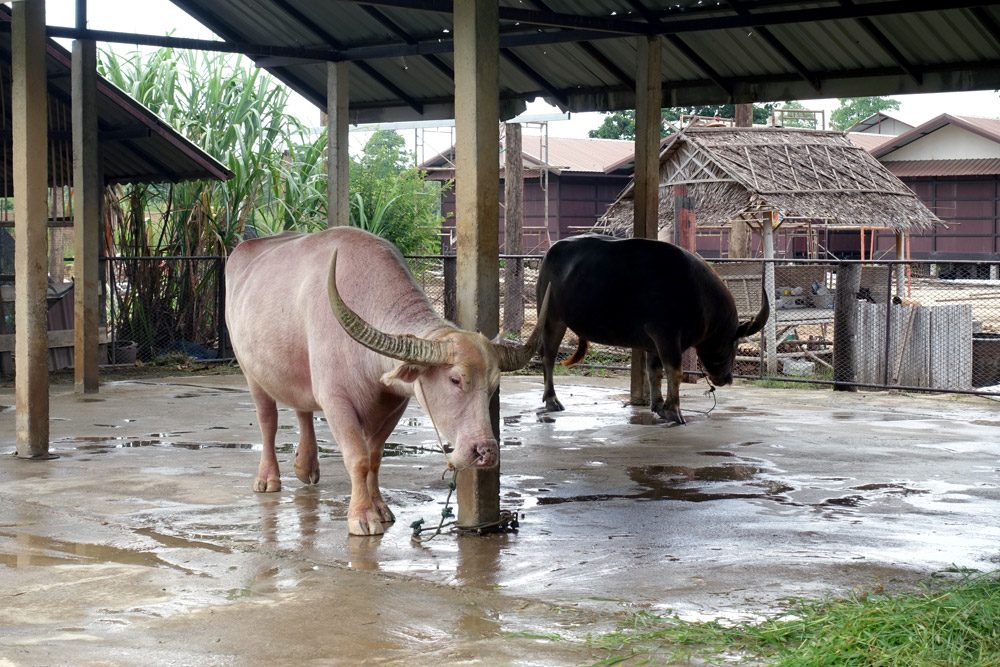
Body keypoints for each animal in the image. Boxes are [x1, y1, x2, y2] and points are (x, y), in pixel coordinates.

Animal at [227, 230, 548, 536]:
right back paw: (268, 478)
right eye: (455, 379)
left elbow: (374, 457)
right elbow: (357, 458)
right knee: (268, 420)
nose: (485, 451)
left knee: (302, 408)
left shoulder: (395, 403)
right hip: (250, 371)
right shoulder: (336, 401)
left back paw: (305, 466)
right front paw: (362, 517)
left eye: (493, 386)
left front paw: (380, 508)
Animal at [540, 235, 764, 422]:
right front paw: (674, 411)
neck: (700, 295)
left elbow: (654, 371)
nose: (727, 378)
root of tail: (551, 252)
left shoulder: (653, 342)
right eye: (733, 343)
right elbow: (674, 372)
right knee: (548, 356)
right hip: (552, 318)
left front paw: (658, 405)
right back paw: (552, 400)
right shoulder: (666, 335)